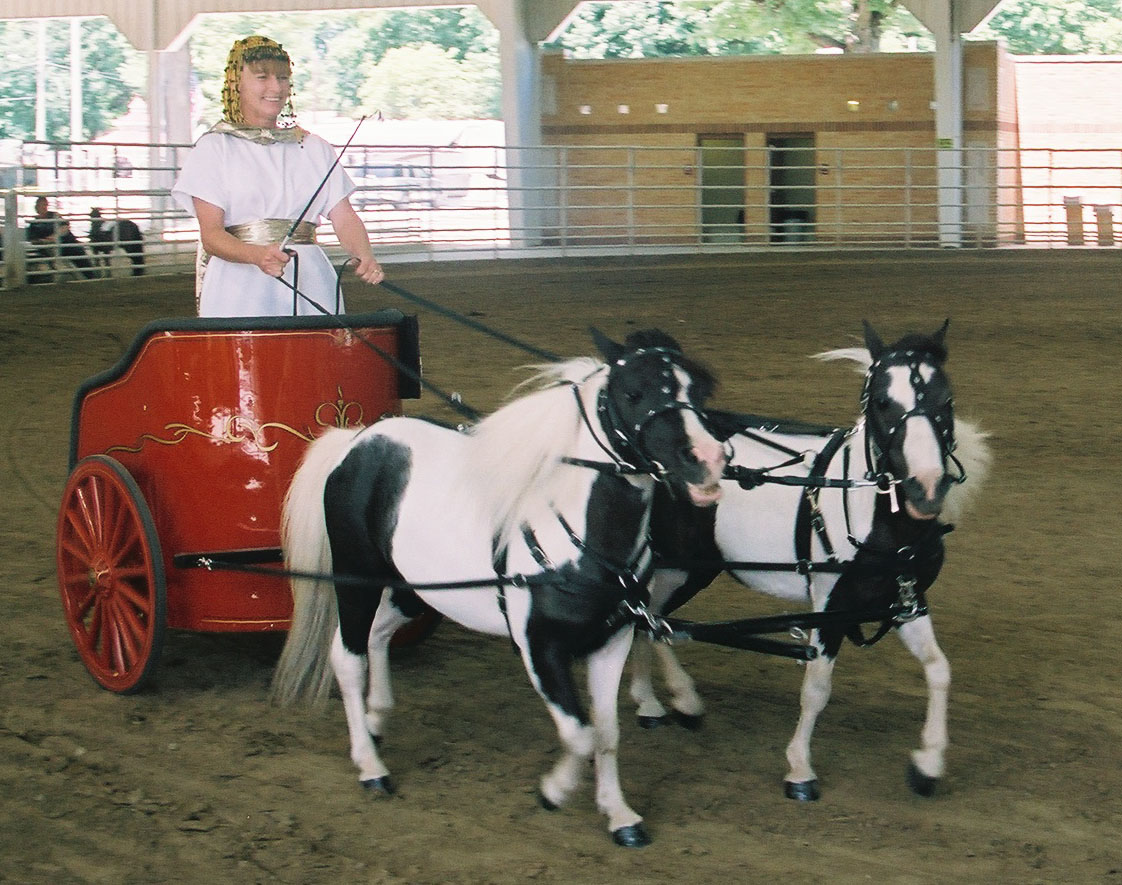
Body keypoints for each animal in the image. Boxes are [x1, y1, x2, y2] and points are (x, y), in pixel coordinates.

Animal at [271, 328, 728, 847]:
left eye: (698, 392)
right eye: (633, 393)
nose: (709, 461)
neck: (579, 538)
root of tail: (357, 440)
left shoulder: (612, 641)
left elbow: (608, 734)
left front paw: (620, 816)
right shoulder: (538, 647)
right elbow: (580, 734)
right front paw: (554, 790)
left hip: (414, 589)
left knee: (378, 636)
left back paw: (376, 718)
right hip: (357, 579)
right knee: (348, 658)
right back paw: (371, 766)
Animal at [631, 320, 991, 802]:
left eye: (946, 401)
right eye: (882, 402)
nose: (926, 487)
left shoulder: (905, 603)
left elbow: (939, 670)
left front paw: (927, 765)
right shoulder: (829, 607)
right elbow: (817, 687)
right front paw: (800, 770)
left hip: (694, 568)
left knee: (649, 619)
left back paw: (656, 702)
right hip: (675, 565)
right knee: (649, 619)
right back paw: (676, 700)